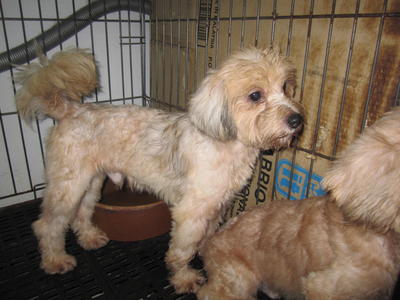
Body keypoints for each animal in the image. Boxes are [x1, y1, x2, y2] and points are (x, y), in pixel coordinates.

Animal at [15, 47, 304, 292]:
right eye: (255, 95)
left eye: (285, 87)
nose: (297, 119)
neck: (224, 142)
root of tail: (70, 109)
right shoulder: (191, 212)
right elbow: (181, 251)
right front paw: (184, 278)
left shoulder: (216, 205)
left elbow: (207, 237)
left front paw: (209, 252)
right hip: (68, 184)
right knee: (47, 224)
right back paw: (55, 260)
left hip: (91, 182)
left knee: (81, 213)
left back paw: (89, 238)